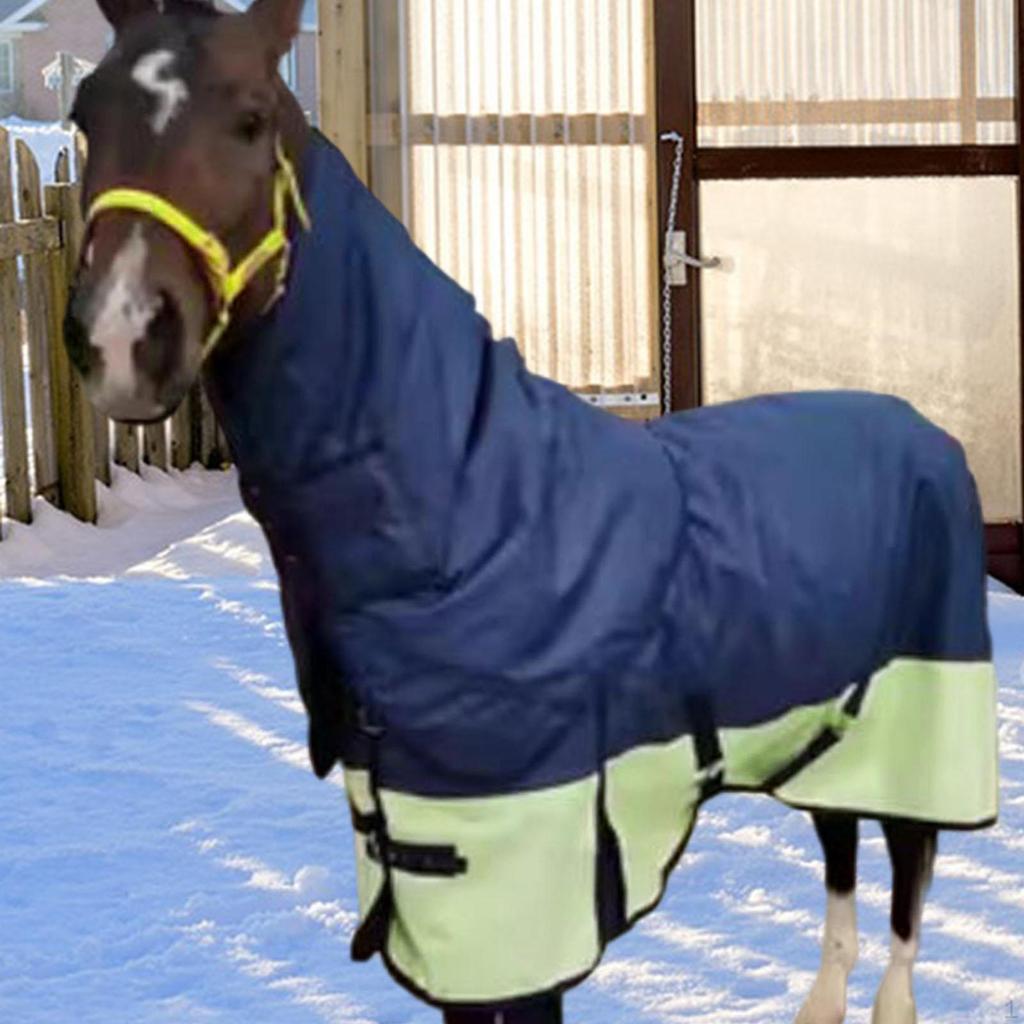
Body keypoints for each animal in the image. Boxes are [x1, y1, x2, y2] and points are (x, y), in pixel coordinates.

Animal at [64, 2, 999, 1022]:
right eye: (84, 114)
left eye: (249, 119)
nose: (121, 335)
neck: (471, 508)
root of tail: (925, 431)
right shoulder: (434, 877)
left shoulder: (523, 884)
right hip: (824, 733)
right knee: (841, 854)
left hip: (913, 725)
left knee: (908, 872)